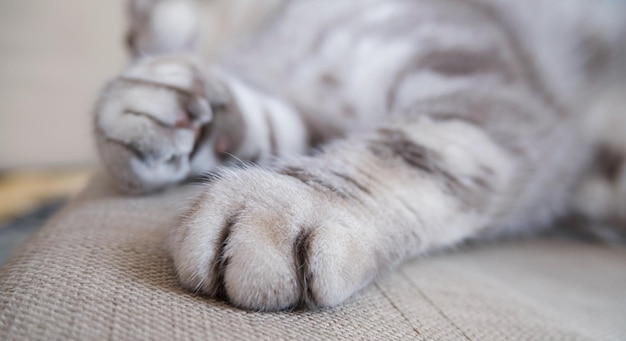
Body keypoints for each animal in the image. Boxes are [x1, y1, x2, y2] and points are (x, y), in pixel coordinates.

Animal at [94, 0, 624, 310]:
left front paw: (285, 207)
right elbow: (266, 123)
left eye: (131, 21)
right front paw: (167, 103)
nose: (129, 42)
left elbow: (411, 153)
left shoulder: (498, 99)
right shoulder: (312, 118)